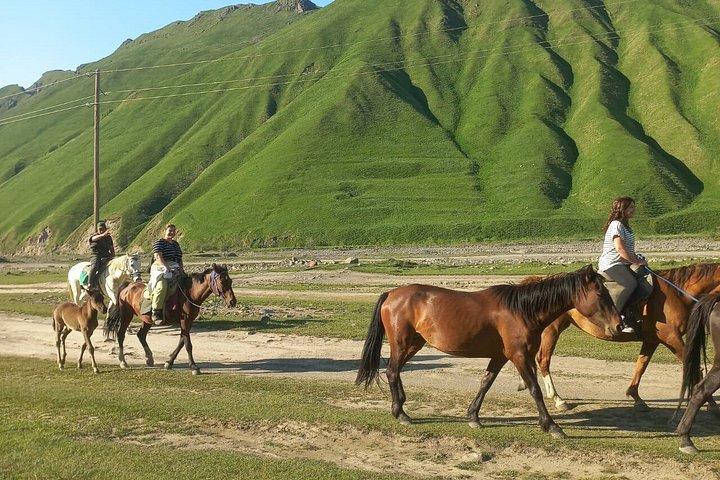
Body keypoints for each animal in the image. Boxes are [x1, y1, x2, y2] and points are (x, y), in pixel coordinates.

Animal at [105, 264, 236, 374]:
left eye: (230, 281)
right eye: (222, 281)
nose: (232, 302)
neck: (189, 294)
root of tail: (127, 286)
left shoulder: (188, 322)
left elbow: (182, 341)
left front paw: (169, 363)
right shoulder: (184, 320)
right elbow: (188, 344)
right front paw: (194, 367)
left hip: (147, 319)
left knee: (141, 334)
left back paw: (149, 358)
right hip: (126, 315)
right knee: (121, 334)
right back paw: (123, 362)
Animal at [355, 265, 621, 438]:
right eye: (600, 293)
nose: (619, 325)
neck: (521, 311)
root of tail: (392, 293)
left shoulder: (500, 356)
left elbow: (486, 383)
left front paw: (473, 416)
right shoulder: (519, 357)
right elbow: (534, 389)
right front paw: (552, 425)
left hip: (414, 344)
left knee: (396, 371)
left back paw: (401, 404)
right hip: (402, 343)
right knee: (392, 372)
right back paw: (400, 413)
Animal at [524, 263, 720, 414]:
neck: (677, 293)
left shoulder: (652, 340)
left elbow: (641, 366)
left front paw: (636, 397)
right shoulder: (672, 338)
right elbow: (695, 369)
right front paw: (710, 403)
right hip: (552, 331)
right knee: (544, 360)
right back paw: (558, 399)